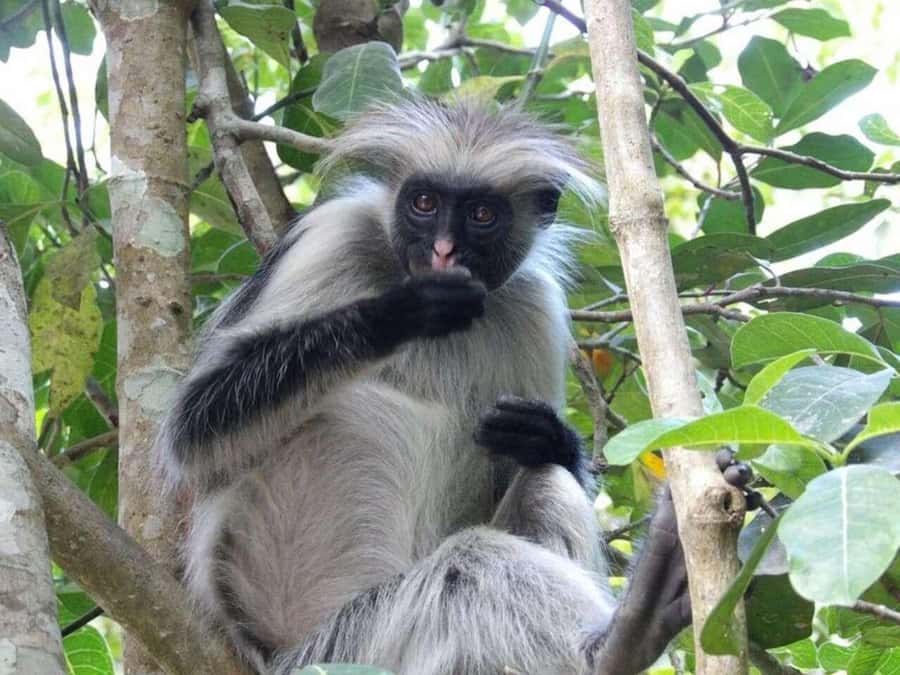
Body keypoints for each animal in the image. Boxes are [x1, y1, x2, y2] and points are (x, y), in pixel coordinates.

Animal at [156, 98, 693, 675]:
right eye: (424, 202)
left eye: (481, 215)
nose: (442, 250)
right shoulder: (332, 235)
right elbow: (193, 431)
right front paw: (403, 311)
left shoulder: (532, 306)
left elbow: (523, 460)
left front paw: (547, 435)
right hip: (342, 644)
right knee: (470, 561)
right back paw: (629, 632)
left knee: (541, 481)